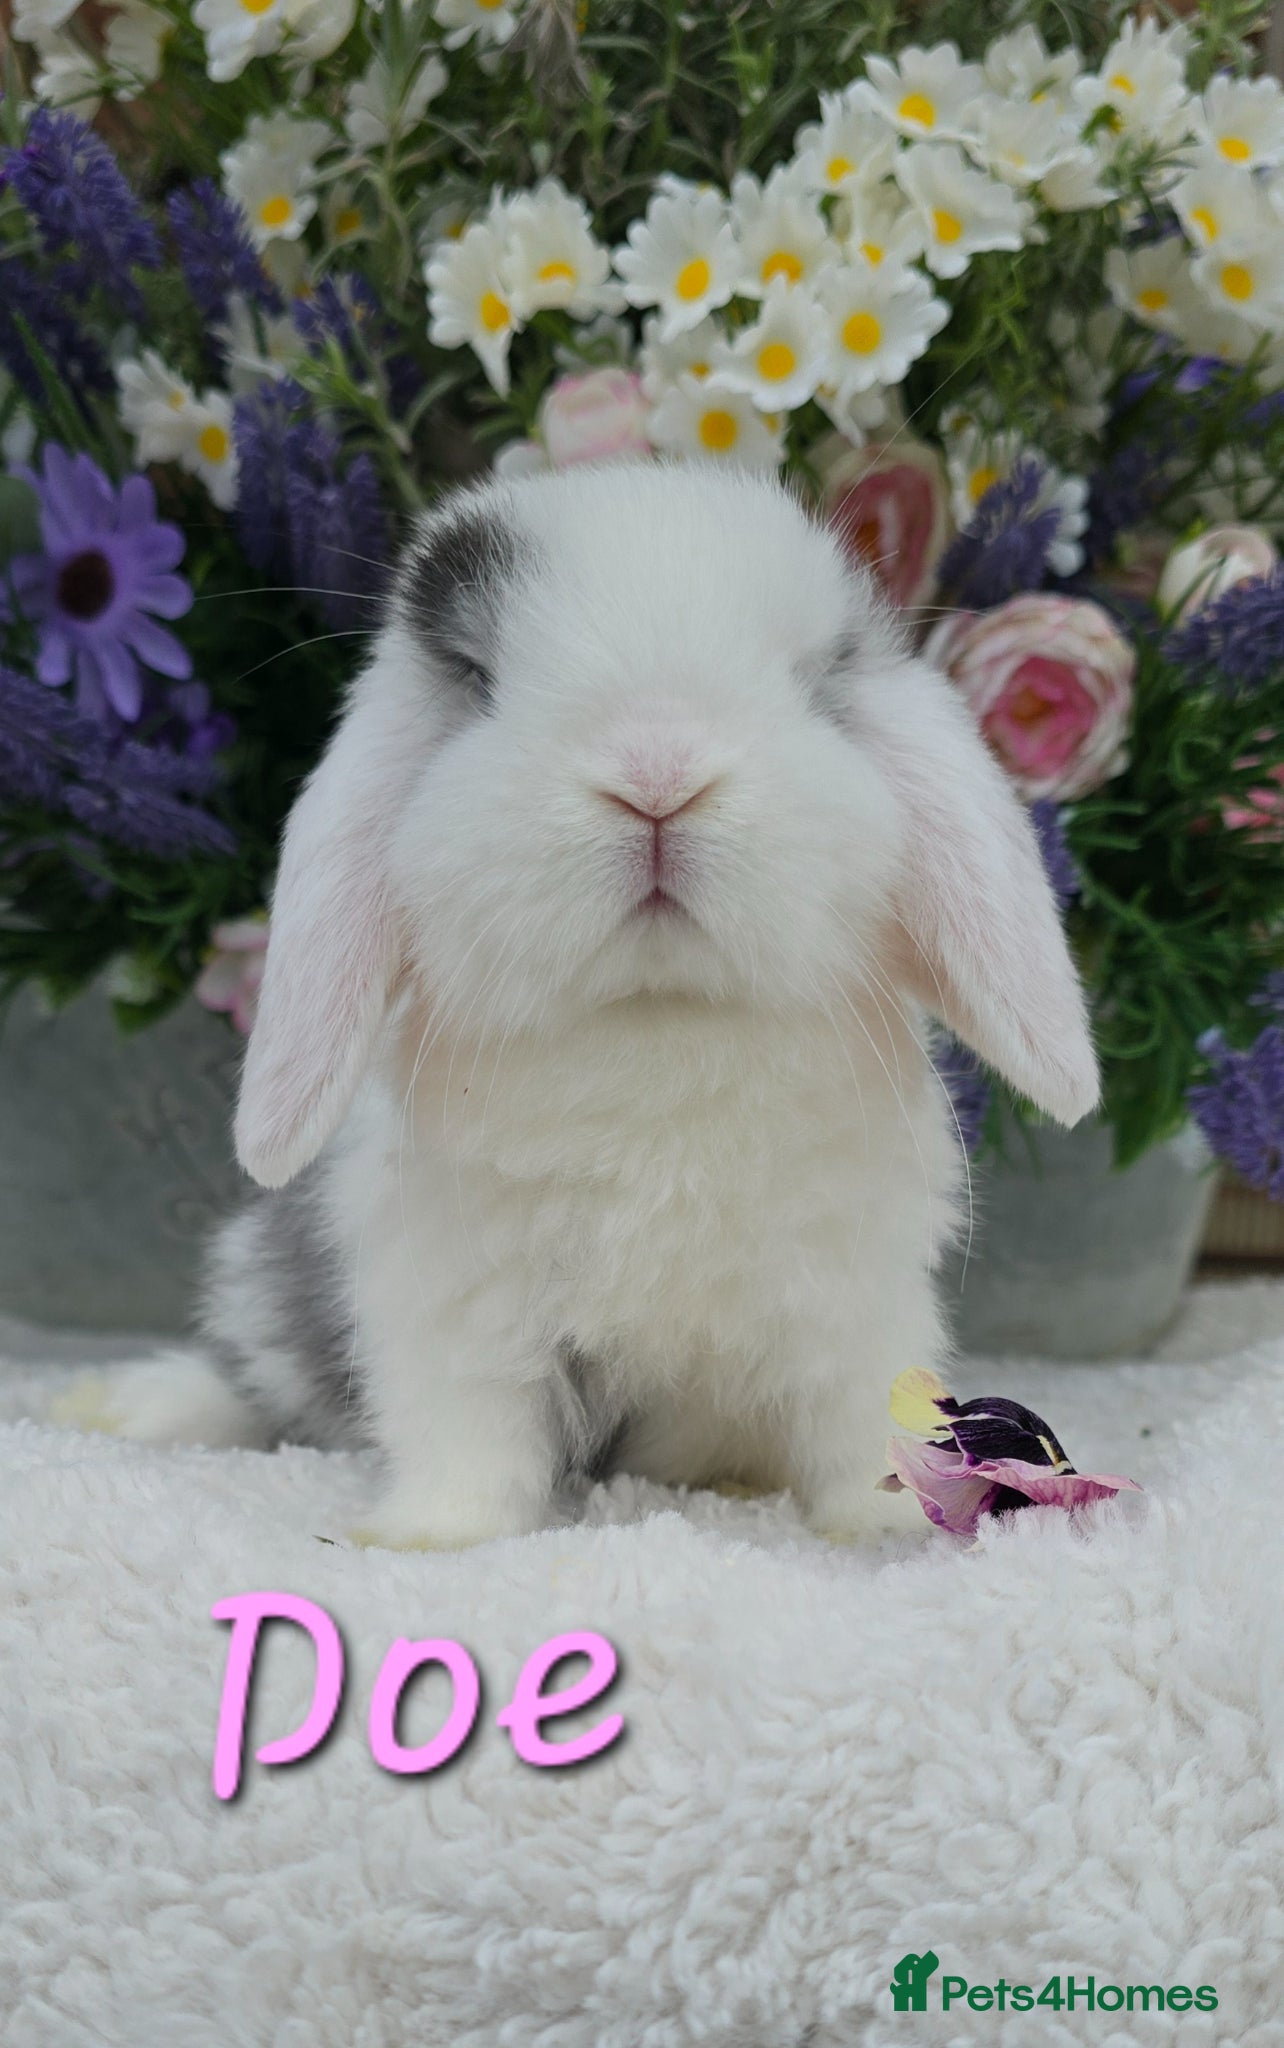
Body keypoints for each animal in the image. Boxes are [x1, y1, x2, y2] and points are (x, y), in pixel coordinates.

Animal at [76, 462, 1097, 1549]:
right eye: (479, 678)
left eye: (817, 684)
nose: (657, 771)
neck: (654, 1018)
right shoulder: (458, 1306)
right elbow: (467, 1432)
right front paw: (429, 1535)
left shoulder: (854, 1300)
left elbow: (861, 1421)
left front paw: (889, 1528)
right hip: (265, 1286)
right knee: (247, 1376)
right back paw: (121, 1406)